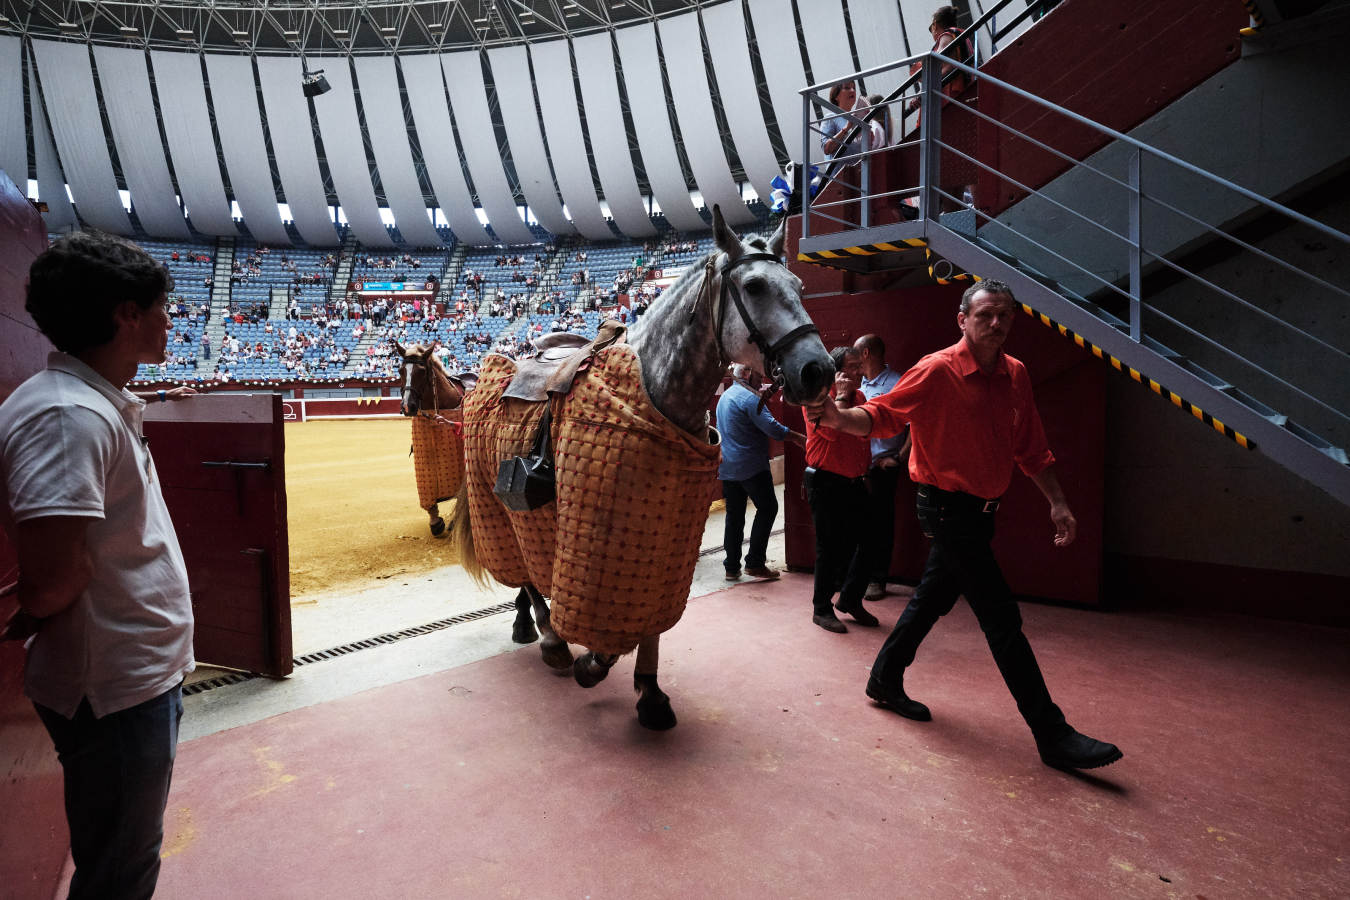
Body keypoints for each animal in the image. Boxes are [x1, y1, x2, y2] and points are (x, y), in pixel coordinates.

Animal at [450, 207, 831, 728]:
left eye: (799, 284)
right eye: (754, 286)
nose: (819, 371)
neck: (653, 387)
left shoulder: (661, 533)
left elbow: (650, 614)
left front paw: (650, 692)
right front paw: (593, 663)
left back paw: (531, 627)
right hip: (501, 504)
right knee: (524, 570)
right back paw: (551, 639)